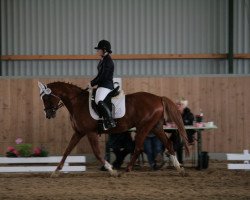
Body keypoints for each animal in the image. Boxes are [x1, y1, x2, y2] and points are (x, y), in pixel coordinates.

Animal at [38, 82, 188, 176]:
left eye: (46, 98)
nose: (48, 114)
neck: (77, 102)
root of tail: (158, 97)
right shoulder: (79, 132)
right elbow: (66, 151)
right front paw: (56, 171)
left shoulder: (90, 133)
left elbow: (97, 153)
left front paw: (111, 170)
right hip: (155, 127)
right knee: (168, 144)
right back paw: (179, 168)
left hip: (144, 127)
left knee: (138, 147)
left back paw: (126, 171)